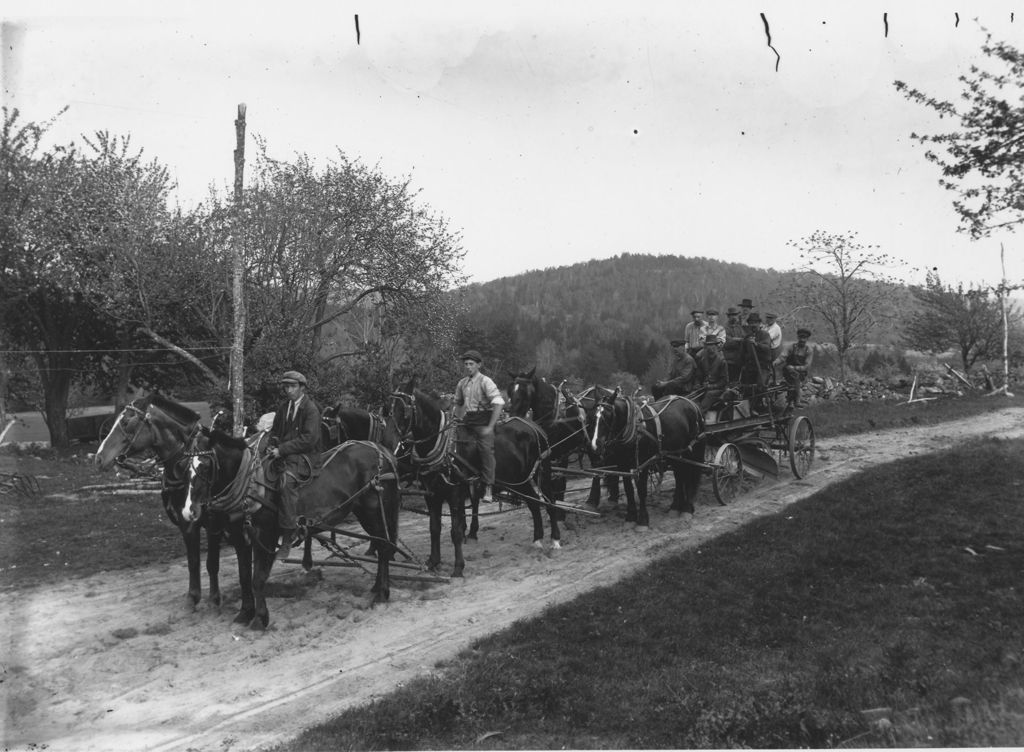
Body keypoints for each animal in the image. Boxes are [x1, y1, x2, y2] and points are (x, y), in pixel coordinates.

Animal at [94, 395, 224, 614]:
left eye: (127, 422)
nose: (98, 458)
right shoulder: (186, 523)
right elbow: (193, 561)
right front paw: (193, 597)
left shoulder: (213, 524)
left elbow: (211, 562)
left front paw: (212, 598)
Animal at [186, 430, 401, 631]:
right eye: (185, 467)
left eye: (204, 465)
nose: (190, 510)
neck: (249, 482)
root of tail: (381, 450)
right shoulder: (241, 539)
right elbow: (244, 577)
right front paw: (245, 613)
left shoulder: (264, 535)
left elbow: (258, 579)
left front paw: (260, 618)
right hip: (364, 512)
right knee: (381, 543)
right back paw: (377, 587)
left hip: (374, 510)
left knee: (384, 547)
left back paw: (382, 593)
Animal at [385, 379, 561, 581]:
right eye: (386, 409)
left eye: (404, 410)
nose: (388, 444)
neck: (444, 447)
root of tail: (534, 426)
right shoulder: (432, 495)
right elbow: (434, 528)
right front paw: (433, 562)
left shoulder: (454, 493)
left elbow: (455, 531)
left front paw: (458, 568)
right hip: (521, 480)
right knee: (533, 505)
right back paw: (537, 539)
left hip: (543, 473)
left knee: (550, 502)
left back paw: (555, 540)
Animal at [581, 385, 708, 528]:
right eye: (591, 417)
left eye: (609, 417)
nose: (595, 446)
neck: (634, 427)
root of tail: (693, 404)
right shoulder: (623, 465)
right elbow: (629, 489)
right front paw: (630, 517)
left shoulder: (644, 463)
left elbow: (641, 490)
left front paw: (642, 521)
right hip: (675, 453)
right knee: (680, 476)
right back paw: (675, 507)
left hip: (695, 450)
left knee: (693, 474)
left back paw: (687, 509)